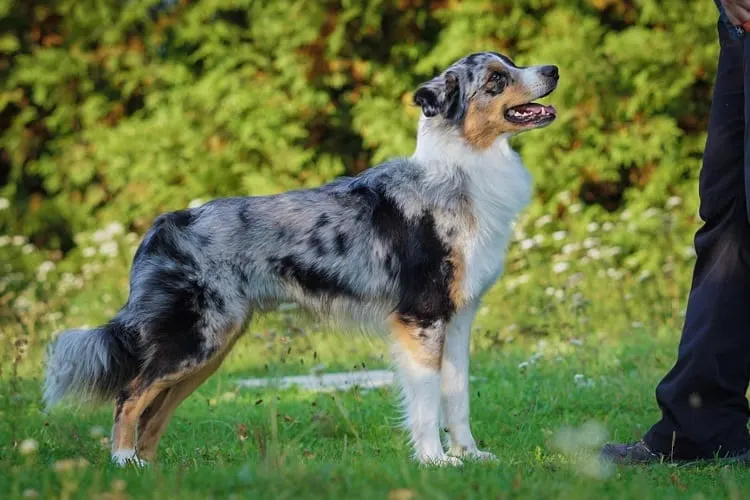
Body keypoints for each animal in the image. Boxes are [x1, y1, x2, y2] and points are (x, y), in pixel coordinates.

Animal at [42, 52, 560, 466]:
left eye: (512, 62)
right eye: (496, 79)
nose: (553, 70)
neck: (464, 171)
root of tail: (164, 225)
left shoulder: (458, 318)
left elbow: (458, 397)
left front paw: (471, 455)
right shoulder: (422, 317)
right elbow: (428, 400)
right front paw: (436, 462)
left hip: (211, 347)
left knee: (154, 410)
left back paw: (147, 469)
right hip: (194, 340)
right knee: (130, 395)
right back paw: (122, 461)